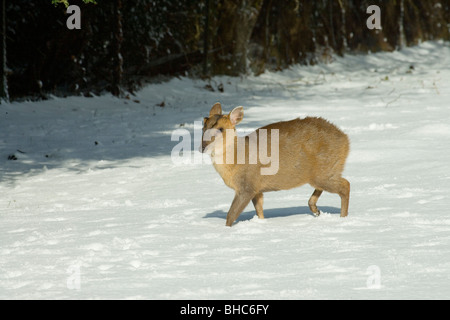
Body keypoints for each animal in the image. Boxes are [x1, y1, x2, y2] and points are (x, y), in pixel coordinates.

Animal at [201, 103, 352, 228]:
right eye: (204, 124)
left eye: (220, 129)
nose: (203, 147)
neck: (235, 161)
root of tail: (346, 139)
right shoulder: (257, 188)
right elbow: (259, 211)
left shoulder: (247, 185)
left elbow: (231, 215)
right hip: (322, 172)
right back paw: (316, 210)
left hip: (326, 169)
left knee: (345, 185)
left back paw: (342, 217)